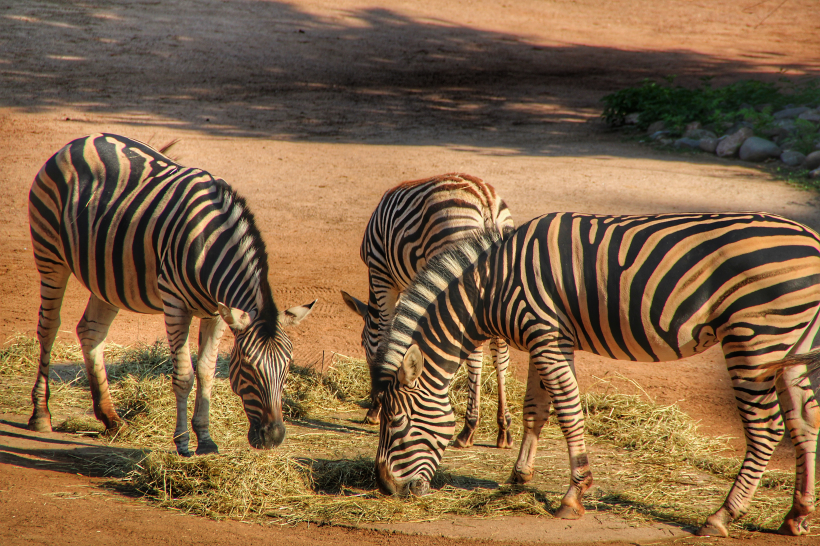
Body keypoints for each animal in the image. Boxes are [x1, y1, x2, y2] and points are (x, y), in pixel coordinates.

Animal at [27, 133, 316, 454]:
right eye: (249, 368)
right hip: (49, 253)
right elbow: (184, 376)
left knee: (91, 331)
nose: (274, 437)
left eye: (287, 366)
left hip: (106, 273)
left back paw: (111, 418)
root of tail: (81, 140)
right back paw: (41, 415)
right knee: (48, 327)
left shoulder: (217, 313)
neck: (210, 245)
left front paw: (205, 440)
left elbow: (206, 372)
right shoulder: (176, 304)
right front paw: (182, 442)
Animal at [340, 174, 512, 446]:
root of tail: (485, 198)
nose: (374, 402)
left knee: (475, 351)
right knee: (500, 351)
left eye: (361, 345)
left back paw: (469, 428)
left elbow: (389, 331)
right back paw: (503, 429)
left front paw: (377, 408)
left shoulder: (381, 274)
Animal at [374, 210, 820, 532]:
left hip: (755, 340)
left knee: (766, 429)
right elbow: (535, 410)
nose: (386, 488)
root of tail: (811, 239)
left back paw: (722, 516)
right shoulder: (542, 337)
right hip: (792, 347)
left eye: (396, 423)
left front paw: (574, 495)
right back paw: (796, 516)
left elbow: (568, 412)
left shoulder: (548, 334)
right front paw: (519, 476)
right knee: (805, 421)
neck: (490, 286)